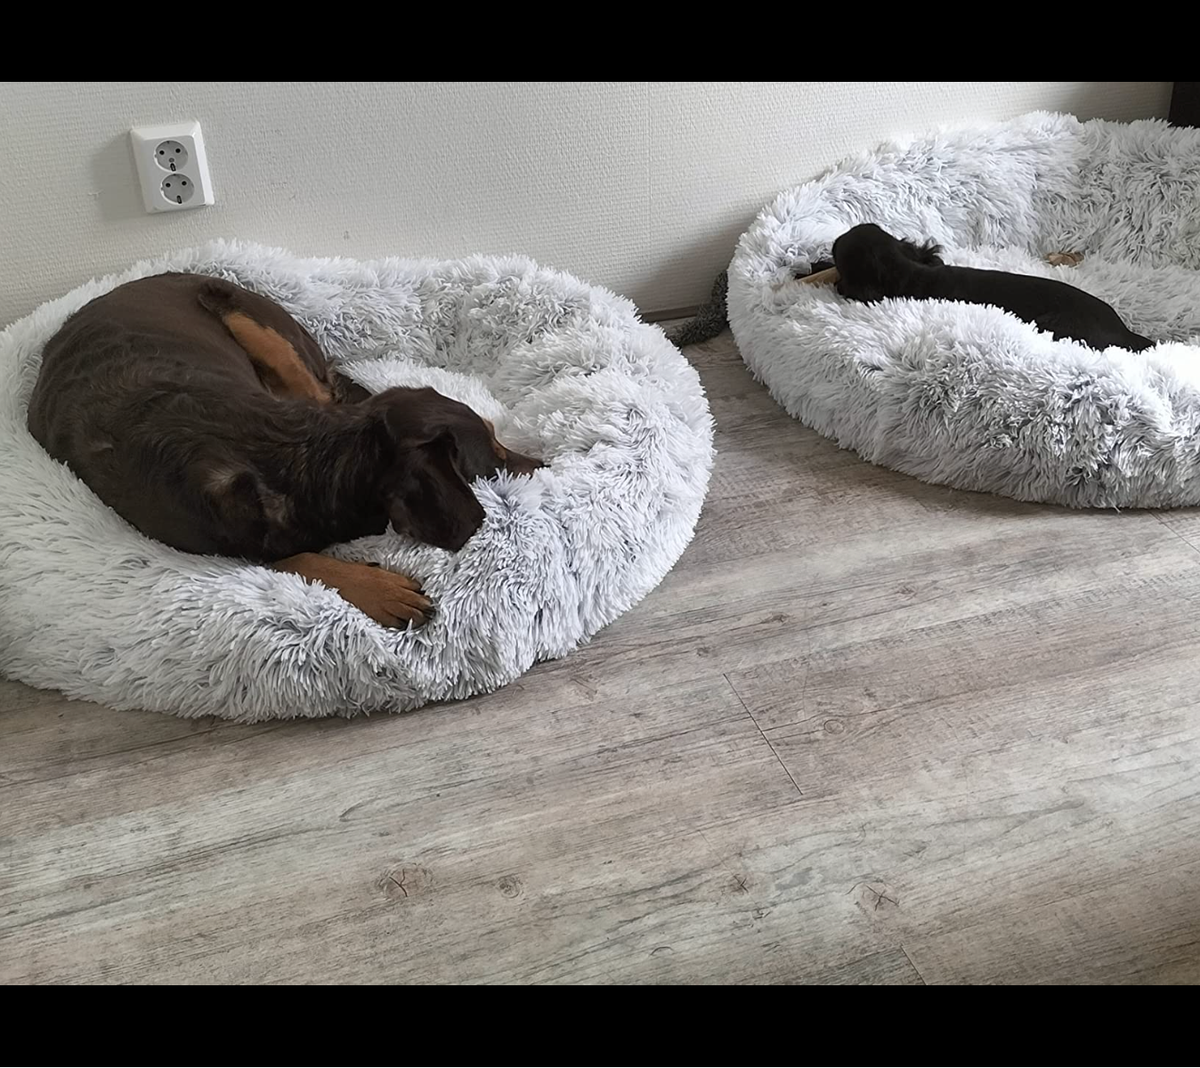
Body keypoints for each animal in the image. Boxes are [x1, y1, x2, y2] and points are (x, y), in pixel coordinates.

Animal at [26, 273, 543, 629]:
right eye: (494, 453)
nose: (544, 463)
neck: (312, 454)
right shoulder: (210, 542)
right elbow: (294, 558)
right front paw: (378, 589)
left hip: (257, 326)